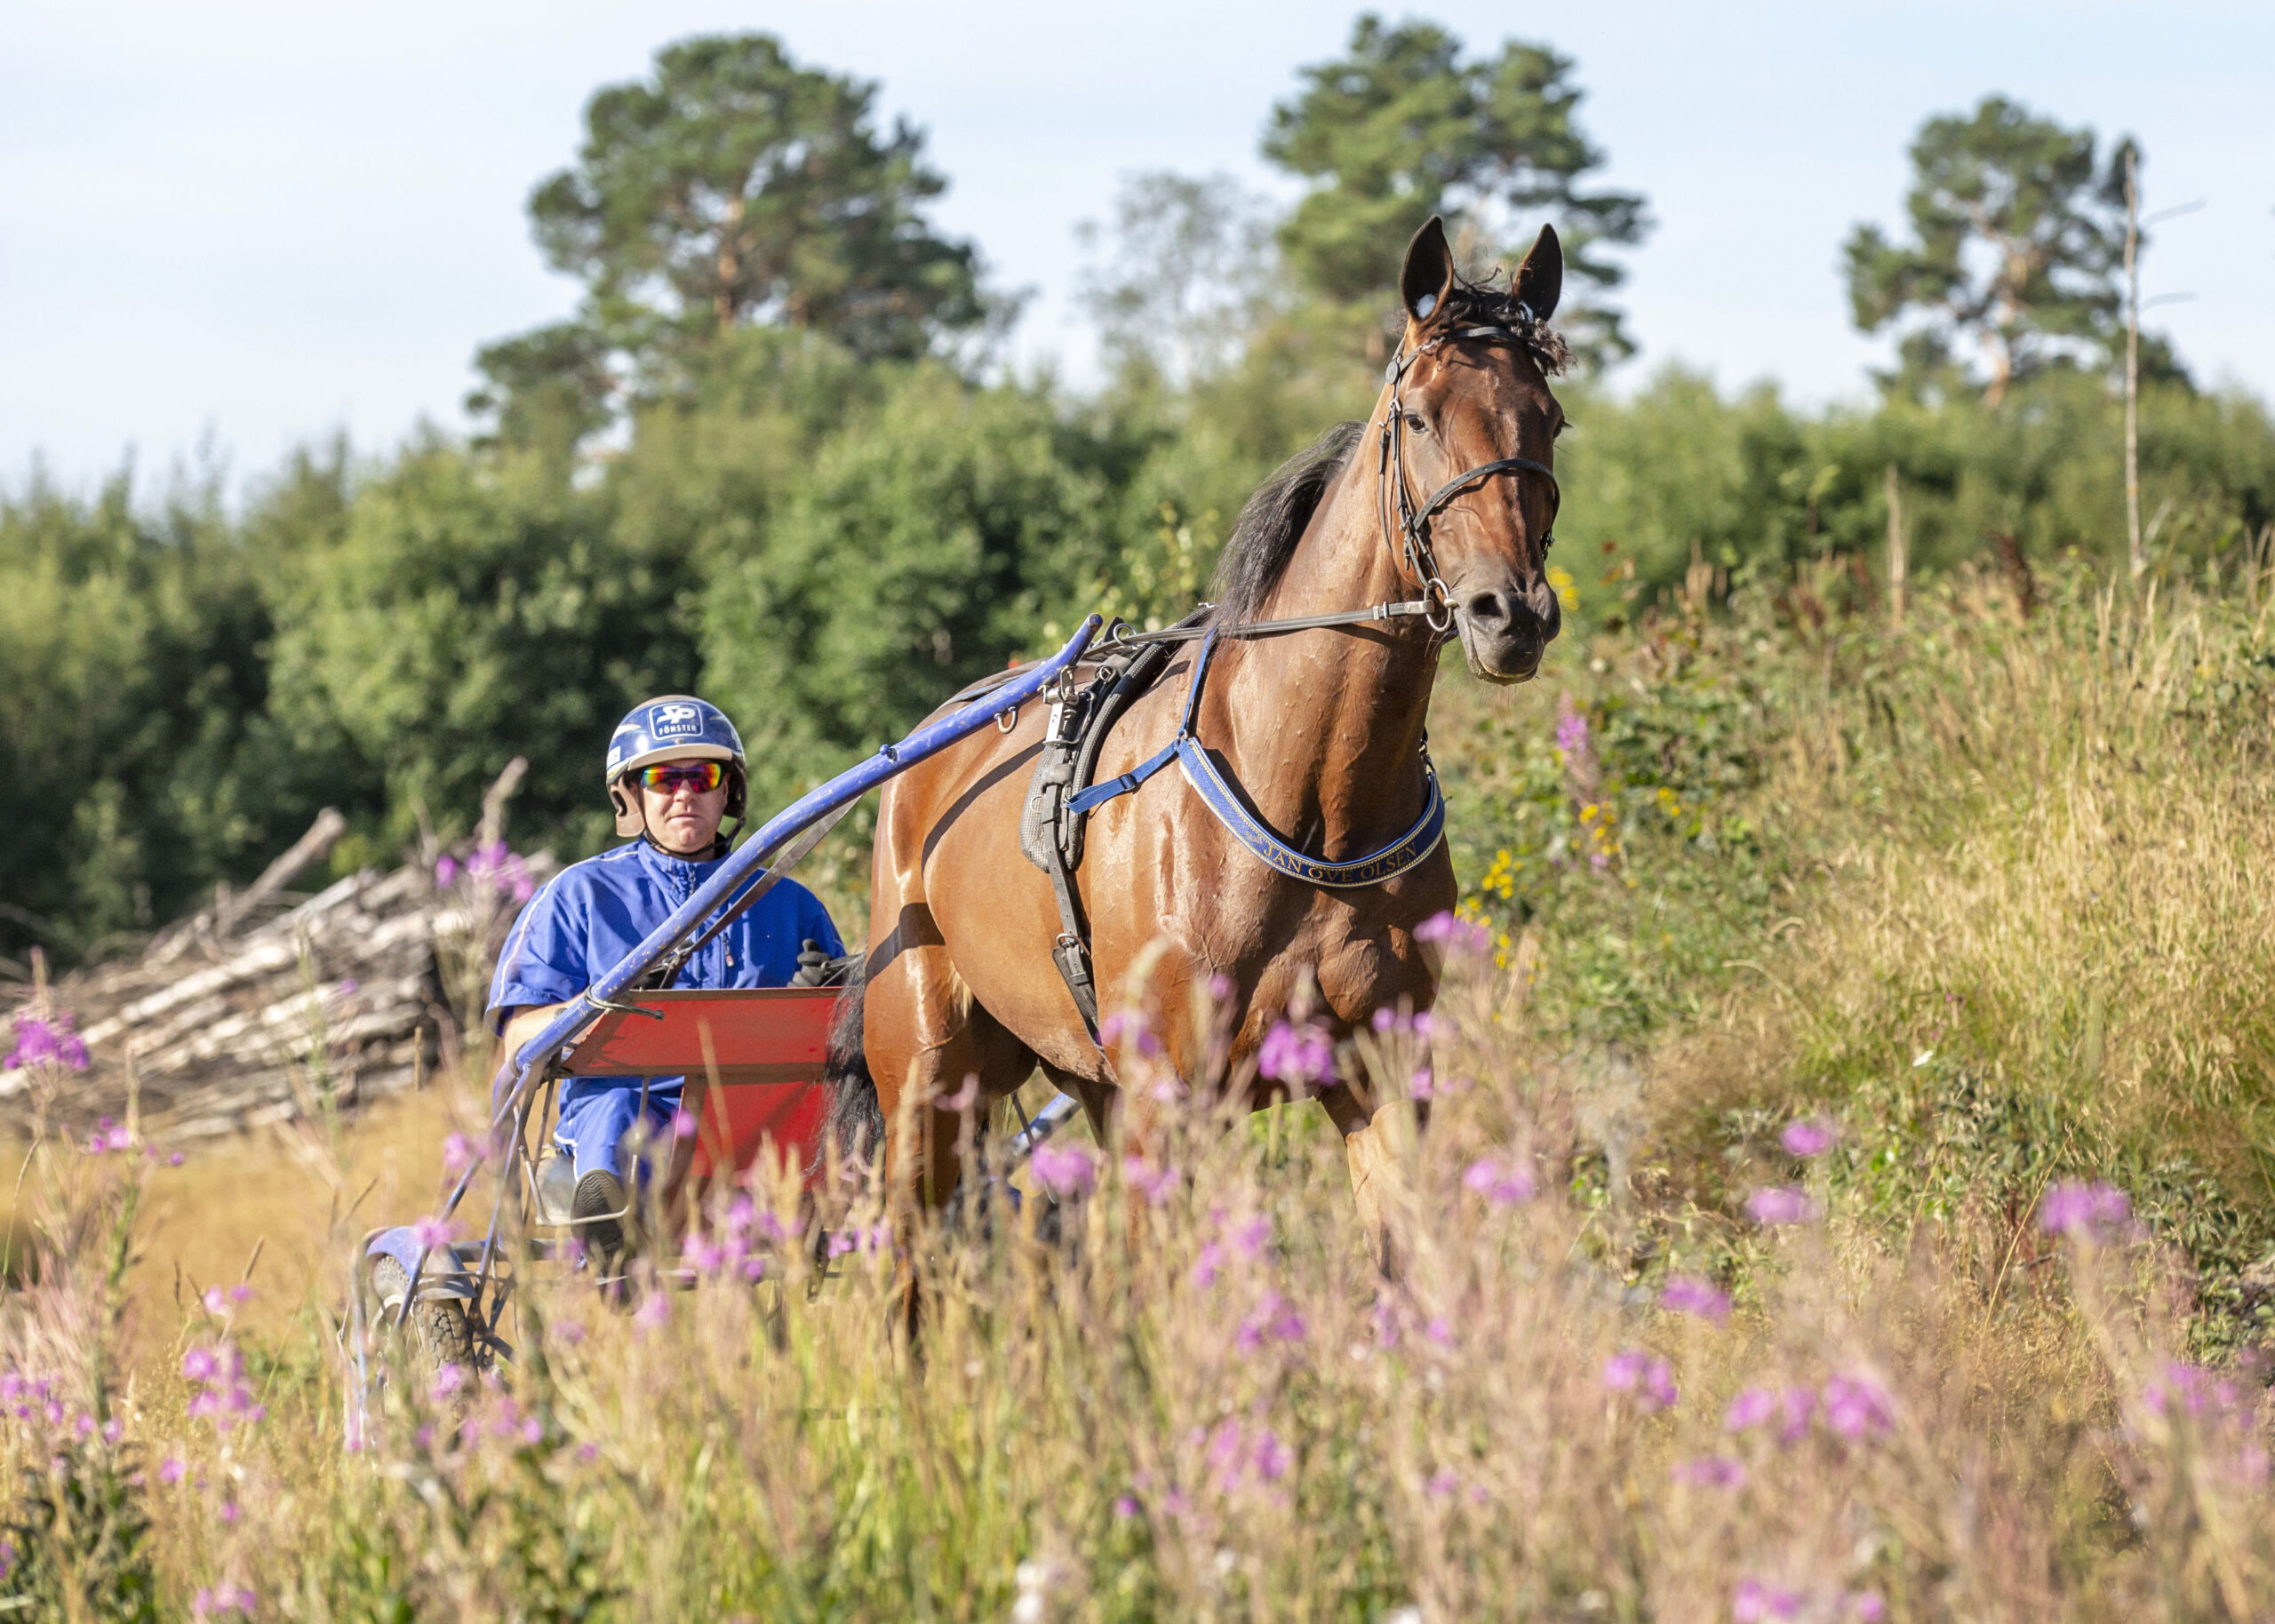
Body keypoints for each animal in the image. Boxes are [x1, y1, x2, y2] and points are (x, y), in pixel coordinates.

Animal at [832, 214, 1565, 1237]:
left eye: (1551, 420)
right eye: (1417, 417)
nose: (1512, 613)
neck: (1313, 801)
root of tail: (924, 752)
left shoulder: (1382, 1079)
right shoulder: (1173, 1095)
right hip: (927, 1080)